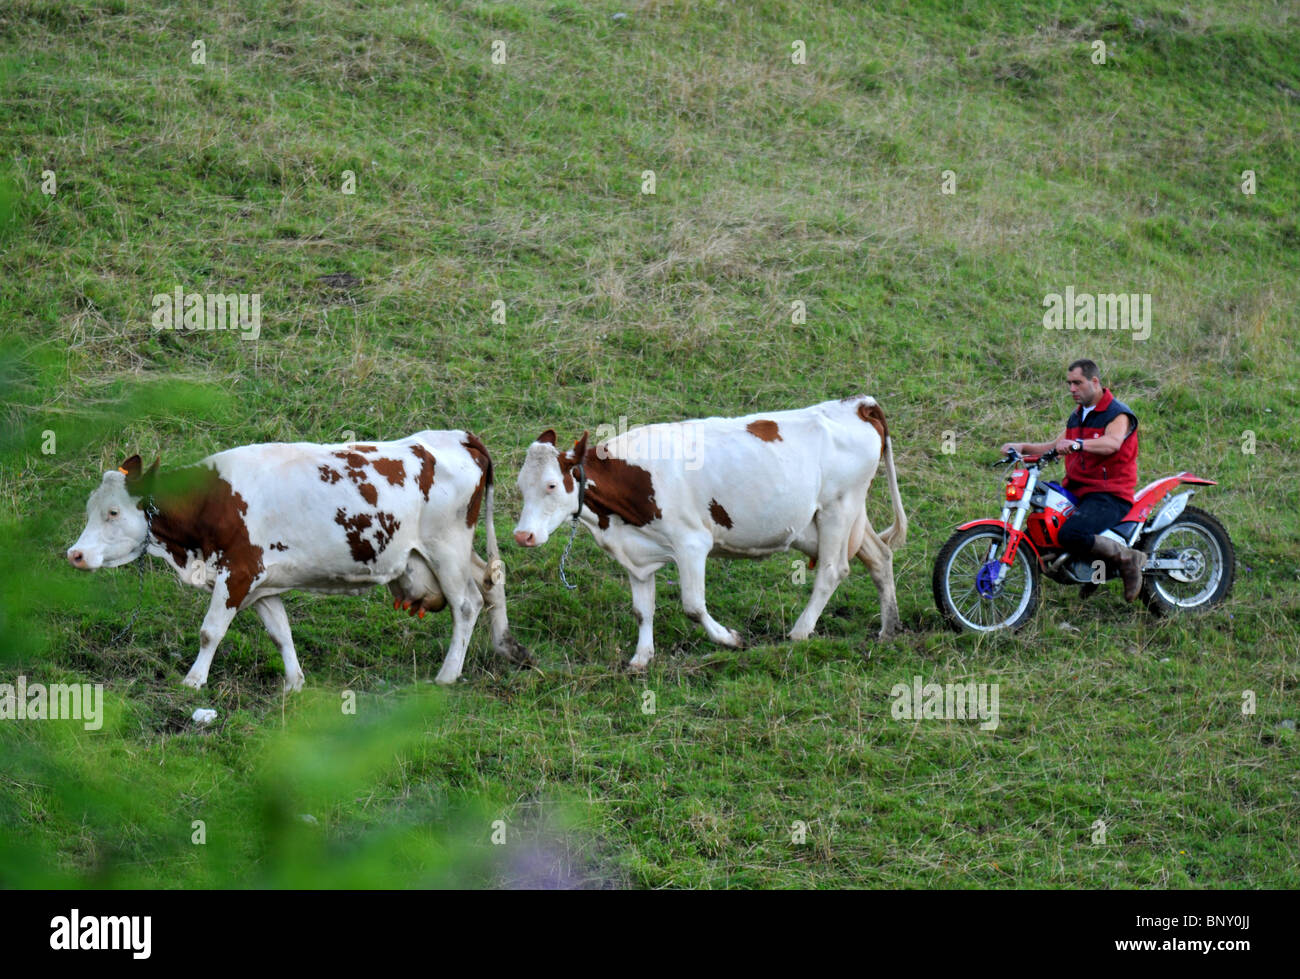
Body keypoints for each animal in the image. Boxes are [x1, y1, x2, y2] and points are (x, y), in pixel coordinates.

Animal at [67, 431, 527, 691]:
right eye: (90, 508)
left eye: (112, 512)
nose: (75, 554)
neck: (212, 501)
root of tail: (458, 436)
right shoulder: (261, 583)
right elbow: (281, 633)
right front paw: (294, 683)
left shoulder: (238, 572)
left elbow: (210, 632)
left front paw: (193, 681)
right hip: (451, 551)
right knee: (491, 579)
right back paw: (506, 646)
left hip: (446, 547)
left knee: (466, 604)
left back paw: (448, 674)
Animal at [512, 392, 909, 670]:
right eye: (520, 486)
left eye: (551, 485)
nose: (522, 536)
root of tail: (858, 404)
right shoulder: (636, 555)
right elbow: (642, 610)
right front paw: (641, 657)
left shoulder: (691, 544)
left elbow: (693, 605)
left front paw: (730, 639)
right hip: (839, 519)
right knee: (879, 556)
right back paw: (888, 629)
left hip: (837, 509)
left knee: (831, 571)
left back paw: (799, 632)